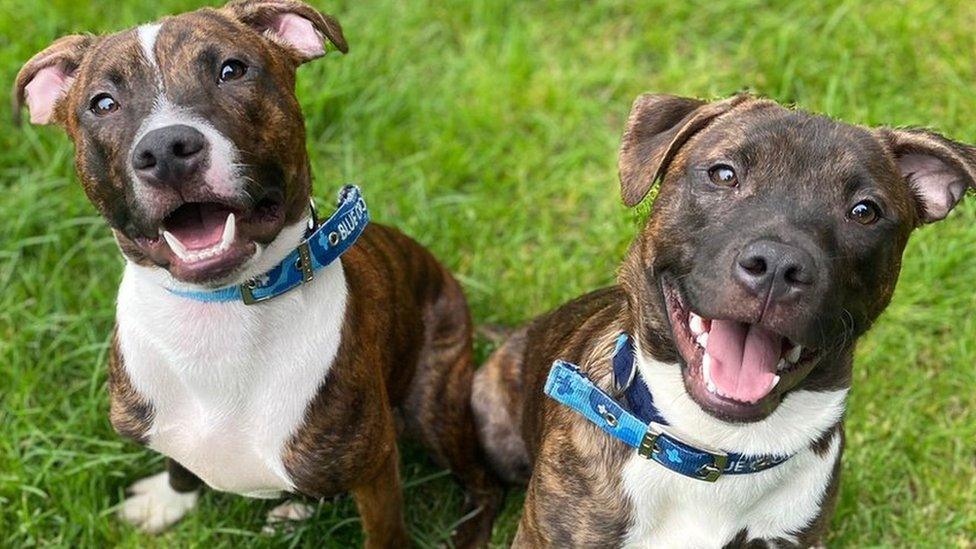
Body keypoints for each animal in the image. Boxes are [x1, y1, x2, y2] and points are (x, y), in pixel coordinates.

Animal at [13, 2, 504, 544]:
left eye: (232, 70)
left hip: (433, 403)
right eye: (103, 103)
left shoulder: (376, 468)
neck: (219, 315)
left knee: (486, 486)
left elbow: (386, 534)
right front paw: (169, 500)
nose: (165, 150)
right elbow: (179, 466)